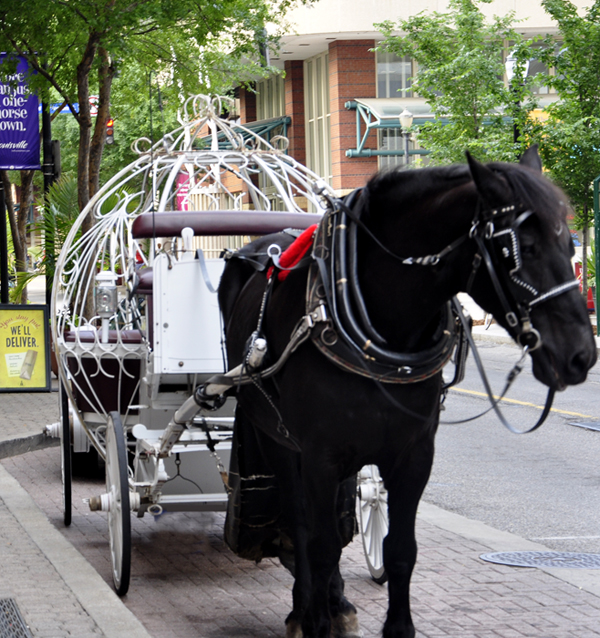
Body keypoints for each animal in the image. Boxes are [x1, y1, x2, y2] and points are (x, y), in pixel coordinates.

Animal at [216, 148, 596, 636]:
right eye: (523, 249)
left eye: (570, 246)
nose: (581, 355)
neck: (381, 324)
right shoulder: (319, 454)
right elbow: (317, 544)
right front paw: (314, 620)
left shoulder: (413, 455)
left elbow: (399, 550)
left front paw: (392, 625)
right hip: (277, 439)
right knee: (300, 524)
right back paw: (305, 607)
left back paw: (337, 602)